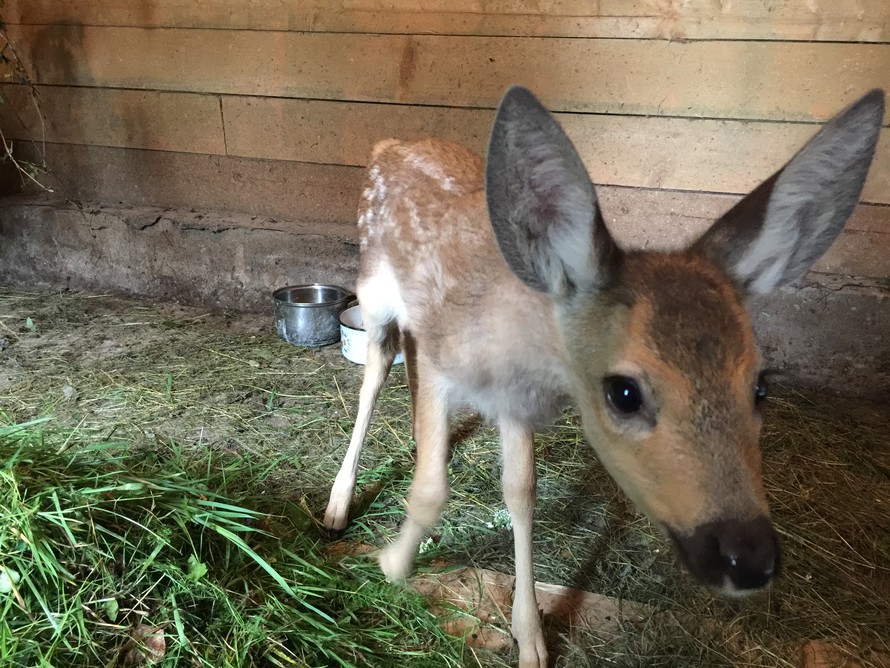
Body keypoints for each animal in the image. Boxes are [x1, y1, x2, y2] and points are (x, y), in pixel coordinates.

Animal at [320, 86, 880, 664]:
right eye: (625, 392)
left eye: (761, 386)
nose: (749, 557)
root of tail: (390, 143)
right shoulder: (440, 355)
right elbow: (433, 488)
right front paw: (391, 564)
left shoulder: (515, 402)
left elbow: (522, 492)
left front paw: (530, 636)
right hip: (375, 293)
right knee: (375, 373)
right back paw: (337, 506)